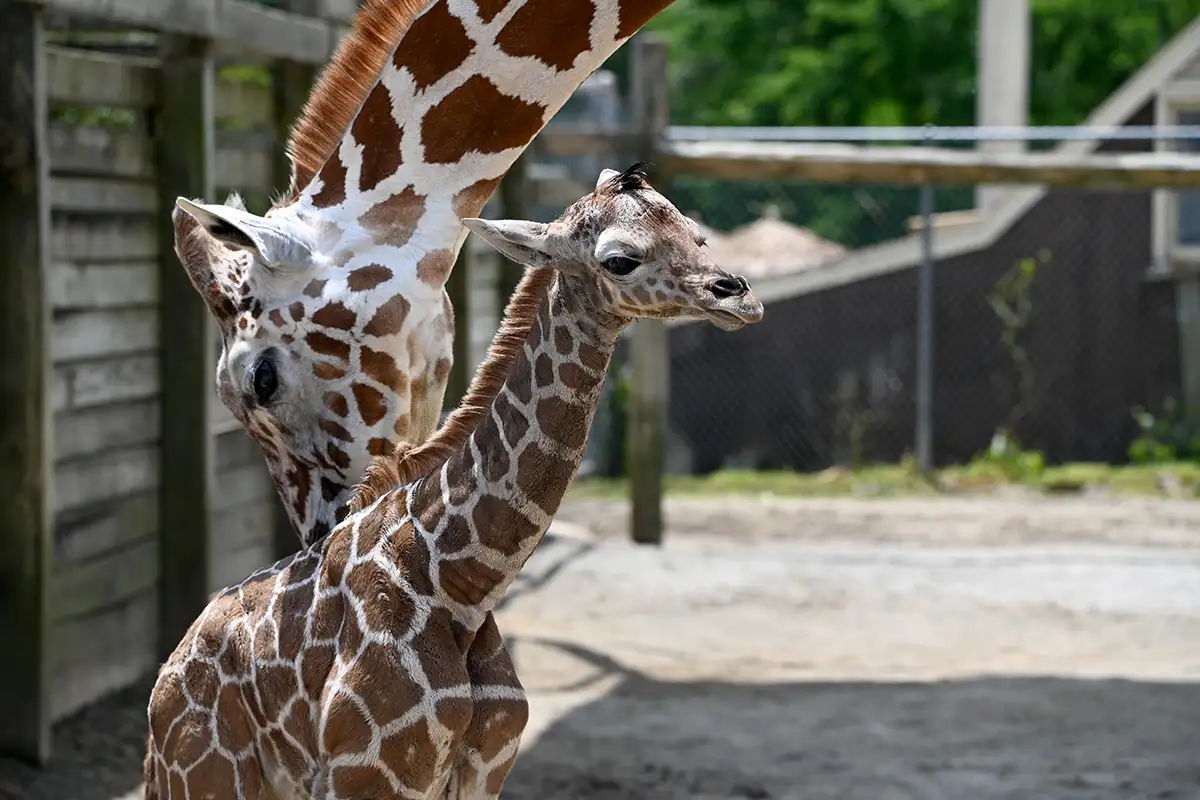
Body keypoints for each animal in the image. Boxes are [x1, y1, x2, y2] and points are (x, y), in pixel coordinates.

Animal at [145, 164, 763, 799]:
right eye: (619, 260)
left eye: (697, 235)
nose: (738, 294)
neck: (461, 582)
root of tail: (159, 701)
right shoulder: (367, 775)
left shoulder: (481, 773)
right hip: (210, 780)